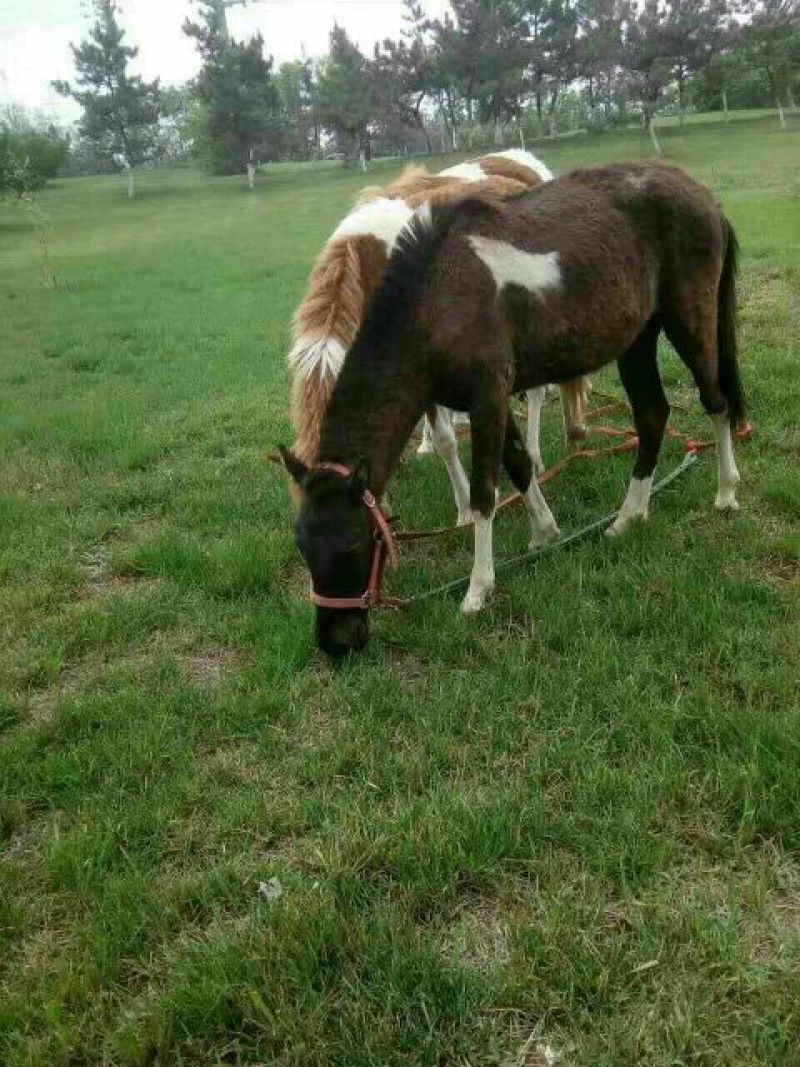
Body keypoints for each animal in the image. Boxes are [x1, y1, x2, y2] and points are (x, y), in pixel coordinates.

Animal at [288, 148, 588, 522]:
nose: (384, 517)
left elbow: (446, 438)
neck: (371, 260)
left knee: (536, 389)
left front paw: (466, 510)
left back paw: (537, 454)